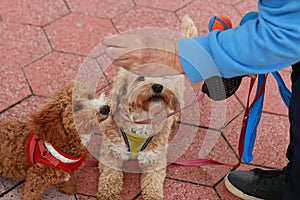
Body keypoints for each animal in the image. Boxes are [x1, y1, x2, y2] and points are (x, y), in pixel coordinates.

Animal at [96, 67, 185, 200]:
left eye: (162, 75)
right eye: (140, 77)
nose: (157, 86)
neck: (142, 120)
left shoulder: (155, 158)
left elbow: (153, 181)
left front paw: (153, 196)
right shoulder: (111, 152)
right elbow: (110, 175)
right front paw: (108, 194)